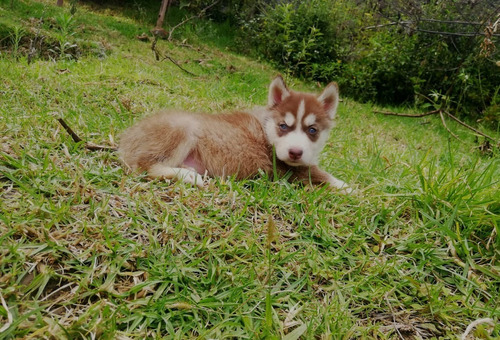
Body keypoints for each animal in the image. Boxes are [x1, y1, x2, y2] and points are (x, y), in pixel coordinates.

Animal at [118, 75, 350, 191]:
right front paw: (350, 189)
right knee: (144, 167)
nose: (295, 152)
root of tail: (126, 138)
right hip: (184, 127)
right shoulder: (288, 171)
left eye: (312, 130)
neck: (266, 128)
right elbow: (330, 179)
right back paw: (187, 176)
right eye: (283, 126)